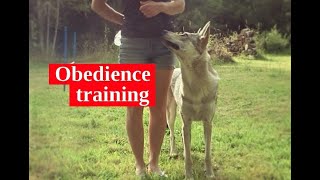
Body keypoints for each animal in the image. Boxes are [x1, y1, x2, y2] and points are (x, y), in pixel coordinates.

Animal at [164, 21, 219, 179]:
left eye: (184, 34)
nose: (162, 30)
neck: (196, 87)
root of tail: (175, 69)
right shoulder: (186, 122)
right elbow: (188, 157)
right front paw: (189, 175)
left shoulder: (208, 123)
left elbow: (207, 154)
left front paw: (210, 174)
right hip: (171, 115)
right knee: (172, 135)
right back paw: (174, 152)